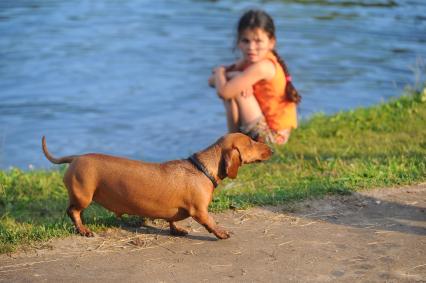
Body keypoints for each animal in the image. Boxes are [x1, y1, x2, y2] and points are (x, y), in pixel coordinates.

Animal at [41, 133, 272, 240]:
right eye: (251, 142)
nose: (270, 149)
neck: (201, 168)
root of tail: (76, 158)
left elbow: (171, 220)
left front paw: (176, 229)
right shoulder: (200, 211)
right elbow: (210, 222)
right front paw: (221, 233)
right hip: (83, 197)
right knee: (72, 212)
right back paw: (83, 230)